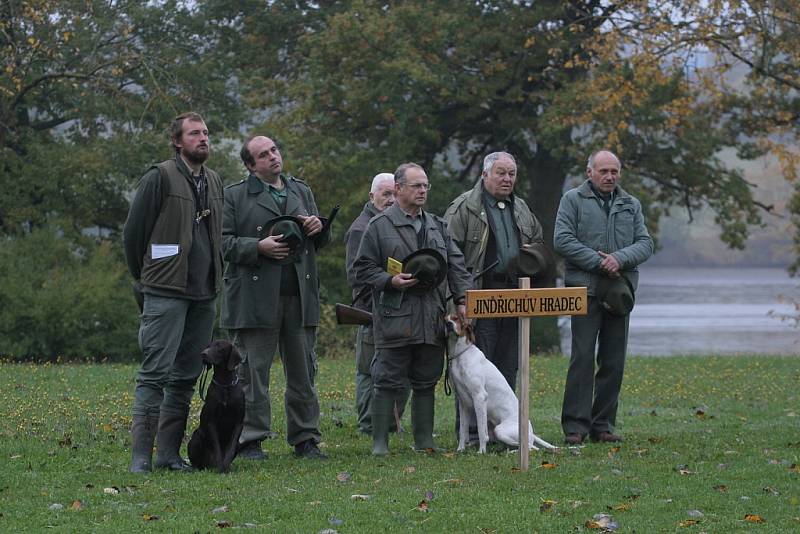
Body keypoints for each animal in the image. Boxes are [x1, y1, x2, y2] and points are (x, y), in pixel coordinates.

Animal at [188, 342, 244, 476]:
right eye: (208, 346)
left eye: (220, 347)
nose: (203, 354)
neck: (225, 384)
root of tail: (209, 465)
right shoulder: (211, 422)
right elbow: (217, 448)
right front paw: (221, 469)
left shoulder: (239, 423)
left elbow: (230, 449)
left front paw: (226, 467)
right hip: (196, 436)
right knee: (197, 462)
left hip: (239, 444)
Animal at [444, 318, 556, 456]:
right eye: (446, 319)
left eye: (458, 319)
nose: (449, 324)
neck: (461, 355)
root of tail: (530, 433)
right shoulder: (463, 402)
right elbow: (463, 430)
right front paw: (460, 450)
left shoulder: (480, 397)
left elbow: (481, 431)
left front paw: (481, 451)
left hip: (500, 430)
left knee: (531, 447)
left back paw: (511, 453)